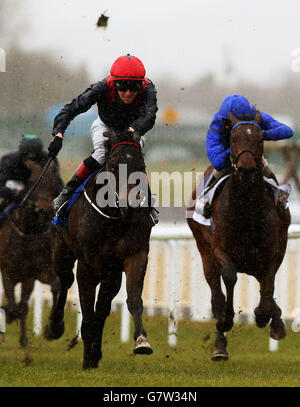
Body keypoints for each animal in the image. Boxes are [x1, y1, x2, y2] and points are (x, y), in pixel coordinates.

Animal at [0, 159, 63, 348]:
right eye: (34, 183)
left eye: (53, 183)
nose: (45, 210)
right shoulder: (7, 271)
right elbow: (13, 304)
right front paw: (9, 314)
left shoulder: (31, 273)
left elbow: (23, 305)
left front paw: (26, 340)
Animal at [44, 130, 155, 370]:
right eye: (113, 164)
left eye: (141, 165)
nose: (128, 203)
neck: (113, 217)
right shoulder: (87, 265)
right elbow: (86, 313)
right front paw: (86, 360)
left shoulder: (133, 256)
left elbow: (132, 299)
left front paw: (141, 341)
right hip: (62, 250)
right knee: (64, 281)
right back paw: (55, 326)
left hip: (110, 272)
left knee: (102, 309)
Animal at [188, 111, 290, 360]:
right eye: (233, 139)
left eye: (260, 139)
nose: (246, 169)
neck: (246, 207)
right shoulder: (219, 250)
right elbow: (230, 278)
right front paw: (226, 320)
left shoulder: (272, 251)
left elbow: (269, 283)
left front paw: (265, 316)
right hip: (204, 252)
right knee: (217, 295)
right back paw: (219, 345)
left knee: (265, 284)